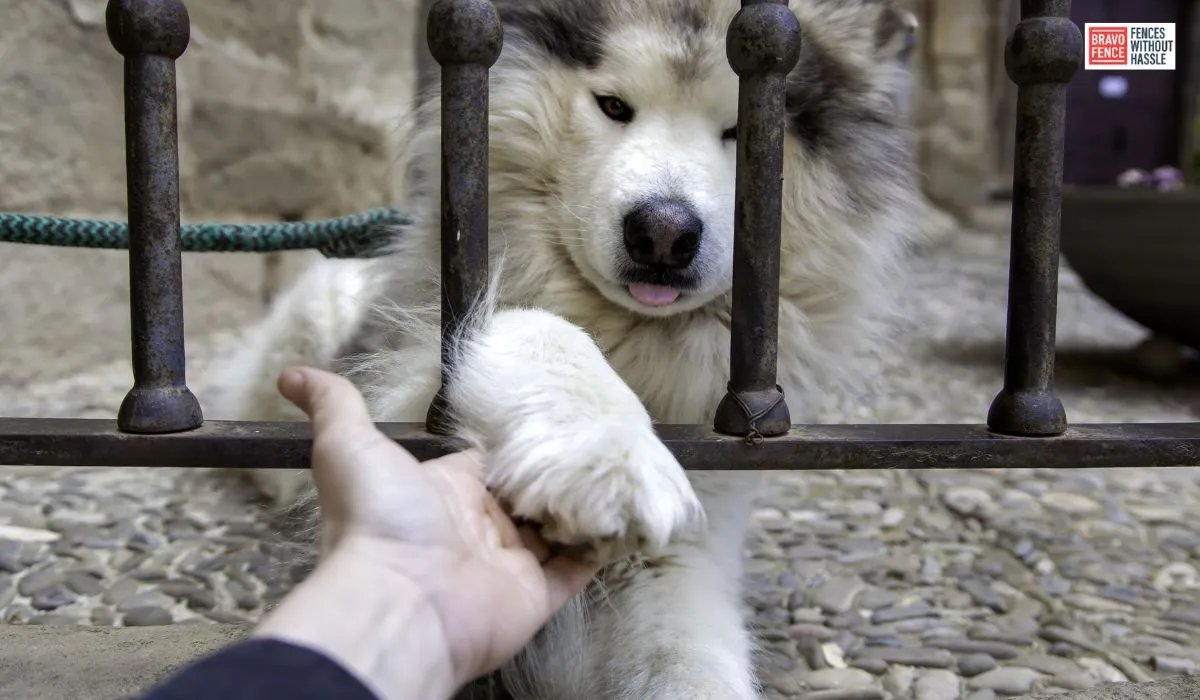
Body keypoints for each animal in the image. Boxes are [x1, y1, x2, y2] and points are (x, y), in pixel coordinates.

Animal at [204, 1, 916, 696]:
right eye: (613, 105)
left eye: (740, 131)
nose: (662, 233)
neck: (637, 346)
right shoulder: (410, 394)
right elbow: (534, 325)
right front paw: (605, 455)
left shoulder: (681, 557)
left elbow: (693, 661)